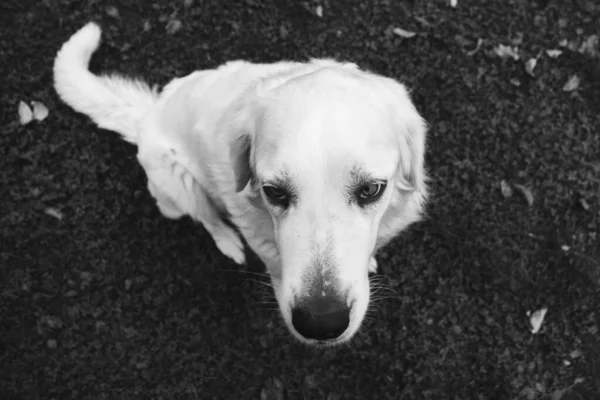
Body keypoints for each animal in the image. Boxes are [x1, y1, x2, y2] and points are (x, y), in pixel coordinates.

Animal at [52, 22, 426, 346]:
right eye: (274, 191)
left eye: (371, 189)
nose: (321, 323)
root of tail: (146, 116)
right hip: (179, 184)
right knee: (206, 218)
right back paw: (228, 242)